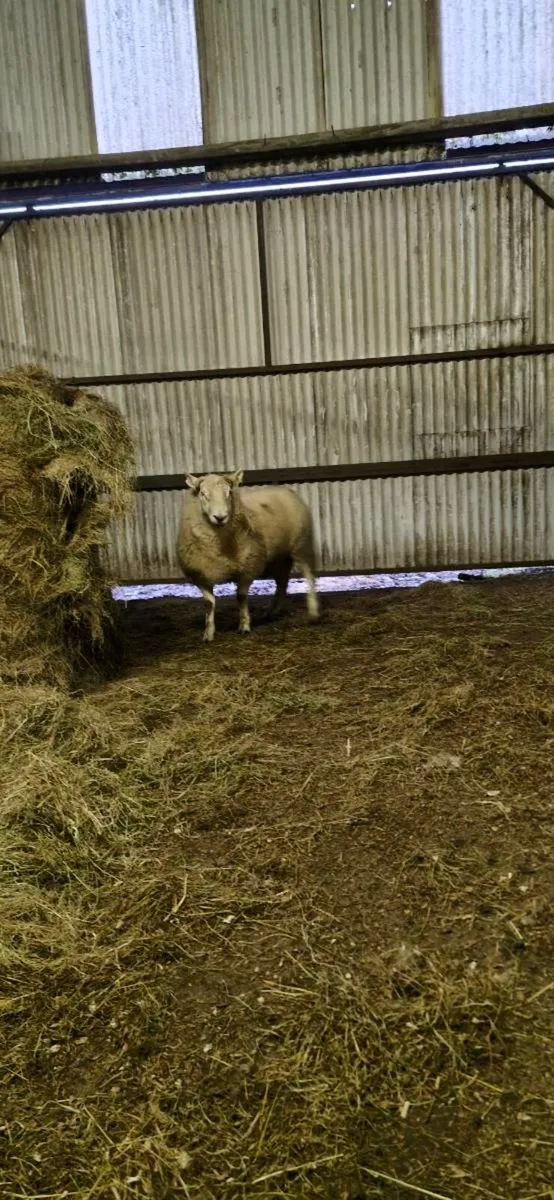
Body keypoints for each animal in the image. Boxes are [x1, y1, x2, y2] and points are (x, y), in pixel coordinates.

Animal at [177, 470, 320, 642]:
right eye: (203, 494)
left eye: (229, 493)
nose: (220, 517)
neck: (220, 547)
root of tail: (285, 489)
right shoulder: (200, 573)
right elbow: (209, 604)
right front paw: (208, 633)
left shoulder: (248, 566)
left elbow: (241, 596)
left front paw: (244, 626)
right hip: (279, 558)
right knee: (282, 583)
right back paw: (272, 612)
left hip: (302, 544)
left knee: (309, 576)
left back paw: (313, 613)